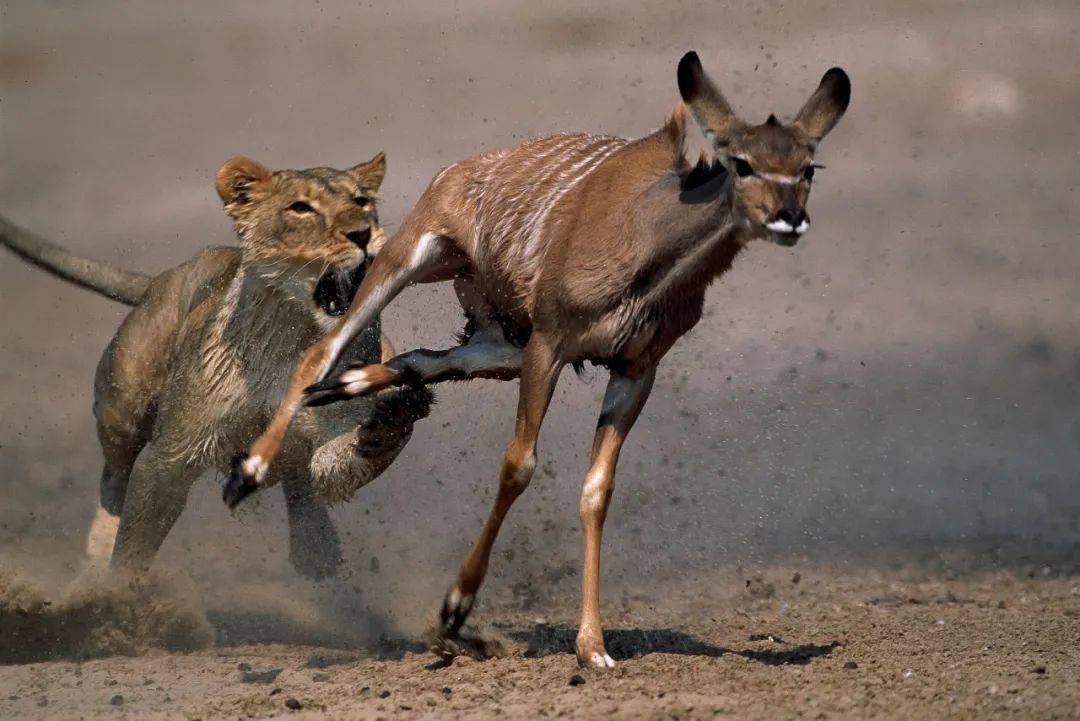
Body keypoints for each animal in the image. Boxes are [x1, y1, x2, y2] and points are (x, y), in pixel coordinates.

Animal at [225, 52, 851, 669]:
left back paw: (348, 390)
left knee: (423, 357)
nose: (789, 217)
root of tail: (464, 168)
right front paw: (453, 612)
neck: (644, 242)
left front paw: (593, 647)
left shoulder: (634, 367)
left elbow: (597, 489)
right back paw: (246, 473)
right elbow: (517, 465)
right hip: (415, 259)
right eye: (741, 163)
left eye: (808, 167)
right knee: (320, 351)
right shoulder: (550, 345)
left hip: (498, 341)